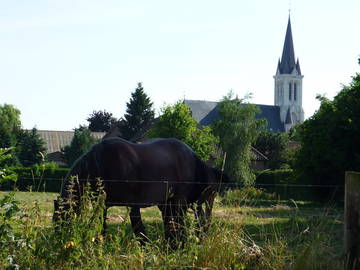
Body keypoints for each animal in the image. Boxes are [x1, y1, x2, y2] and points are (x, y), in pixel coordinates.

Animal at [53, 137, 225, 245]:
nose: (60, 242)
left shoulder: (132, 202)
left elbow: (137, 226)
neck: (100, 162)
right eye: (54, 220)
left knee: (190, 222)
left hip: (181, 201)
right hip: (168, 203)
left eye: (62, 219)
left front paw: (144, 244)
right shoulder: (103, 203)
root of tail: (192, 154)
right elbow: (102, 224)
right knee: (177, 222)